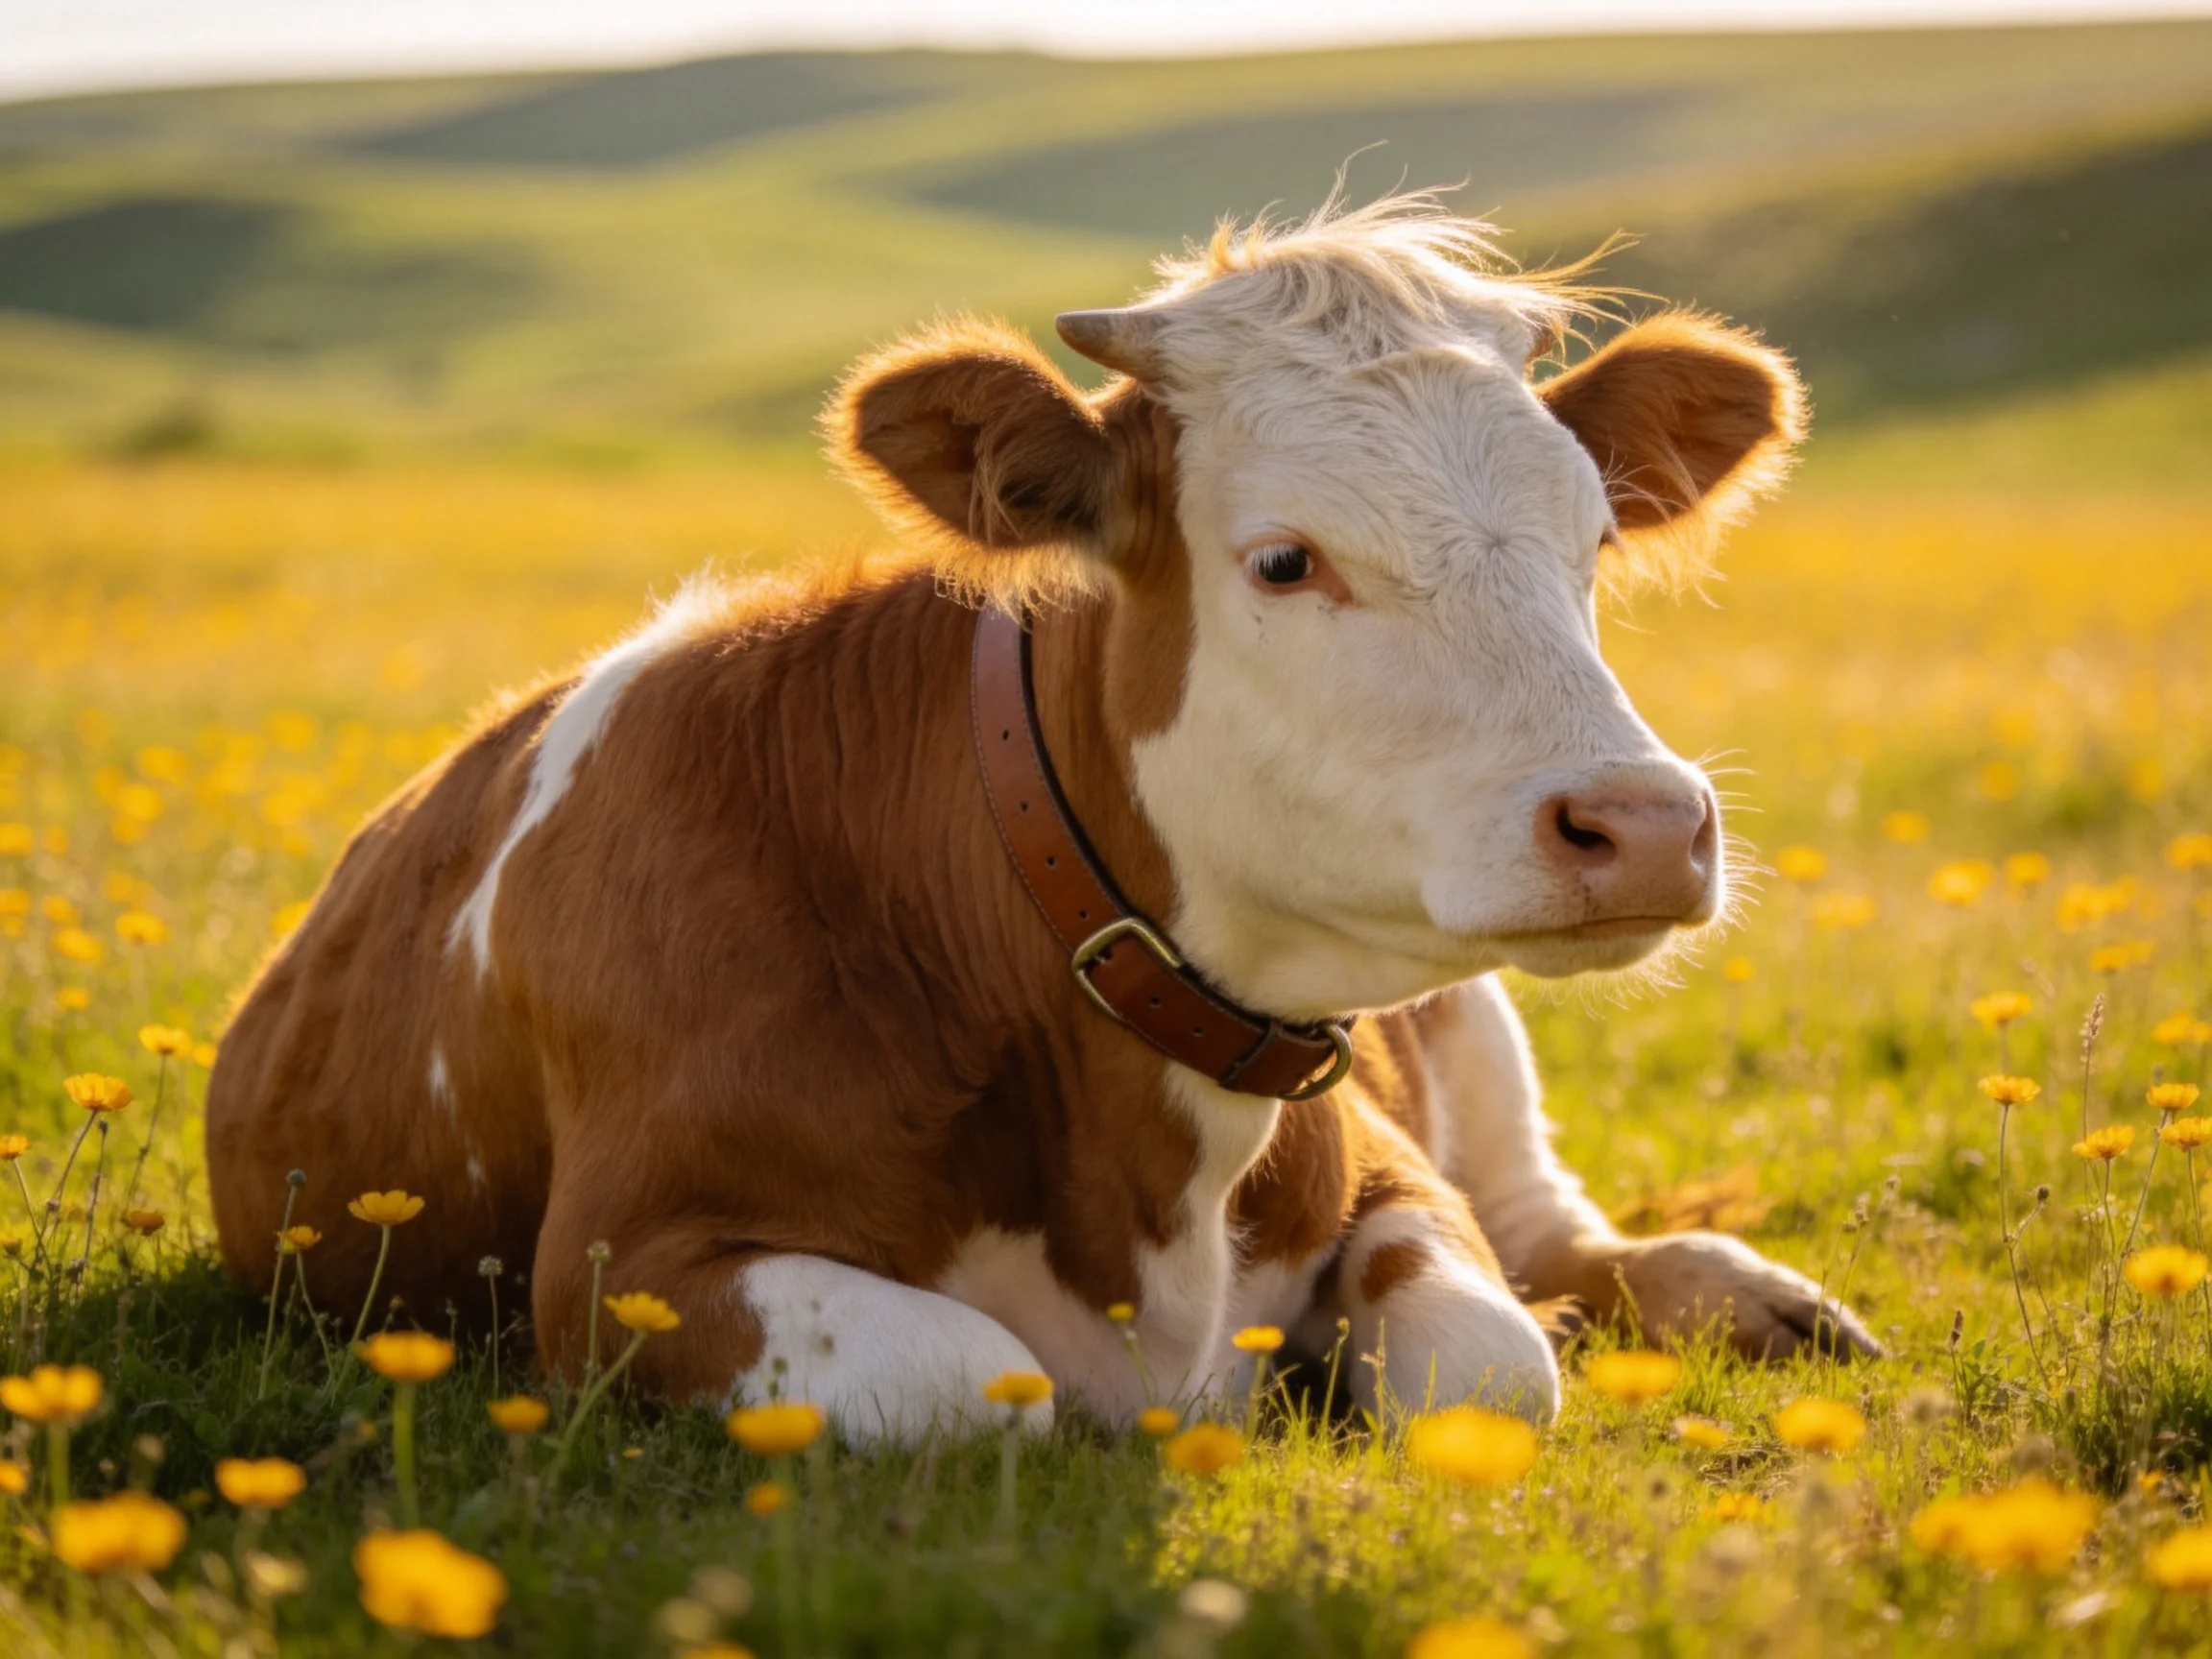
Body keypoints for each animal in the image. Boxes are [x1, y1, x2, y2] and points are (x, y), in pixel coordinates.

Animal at [205, 195, 1875, 1446]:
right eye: (1283, 560)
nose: (1643, 823)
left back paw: (1763, 1300)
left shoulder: (1397, 1166)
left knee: (1556, 1227)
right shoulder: (631, 1265)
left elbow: (1489, 1367)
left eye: (1591, 538)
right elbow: (969, 1381)